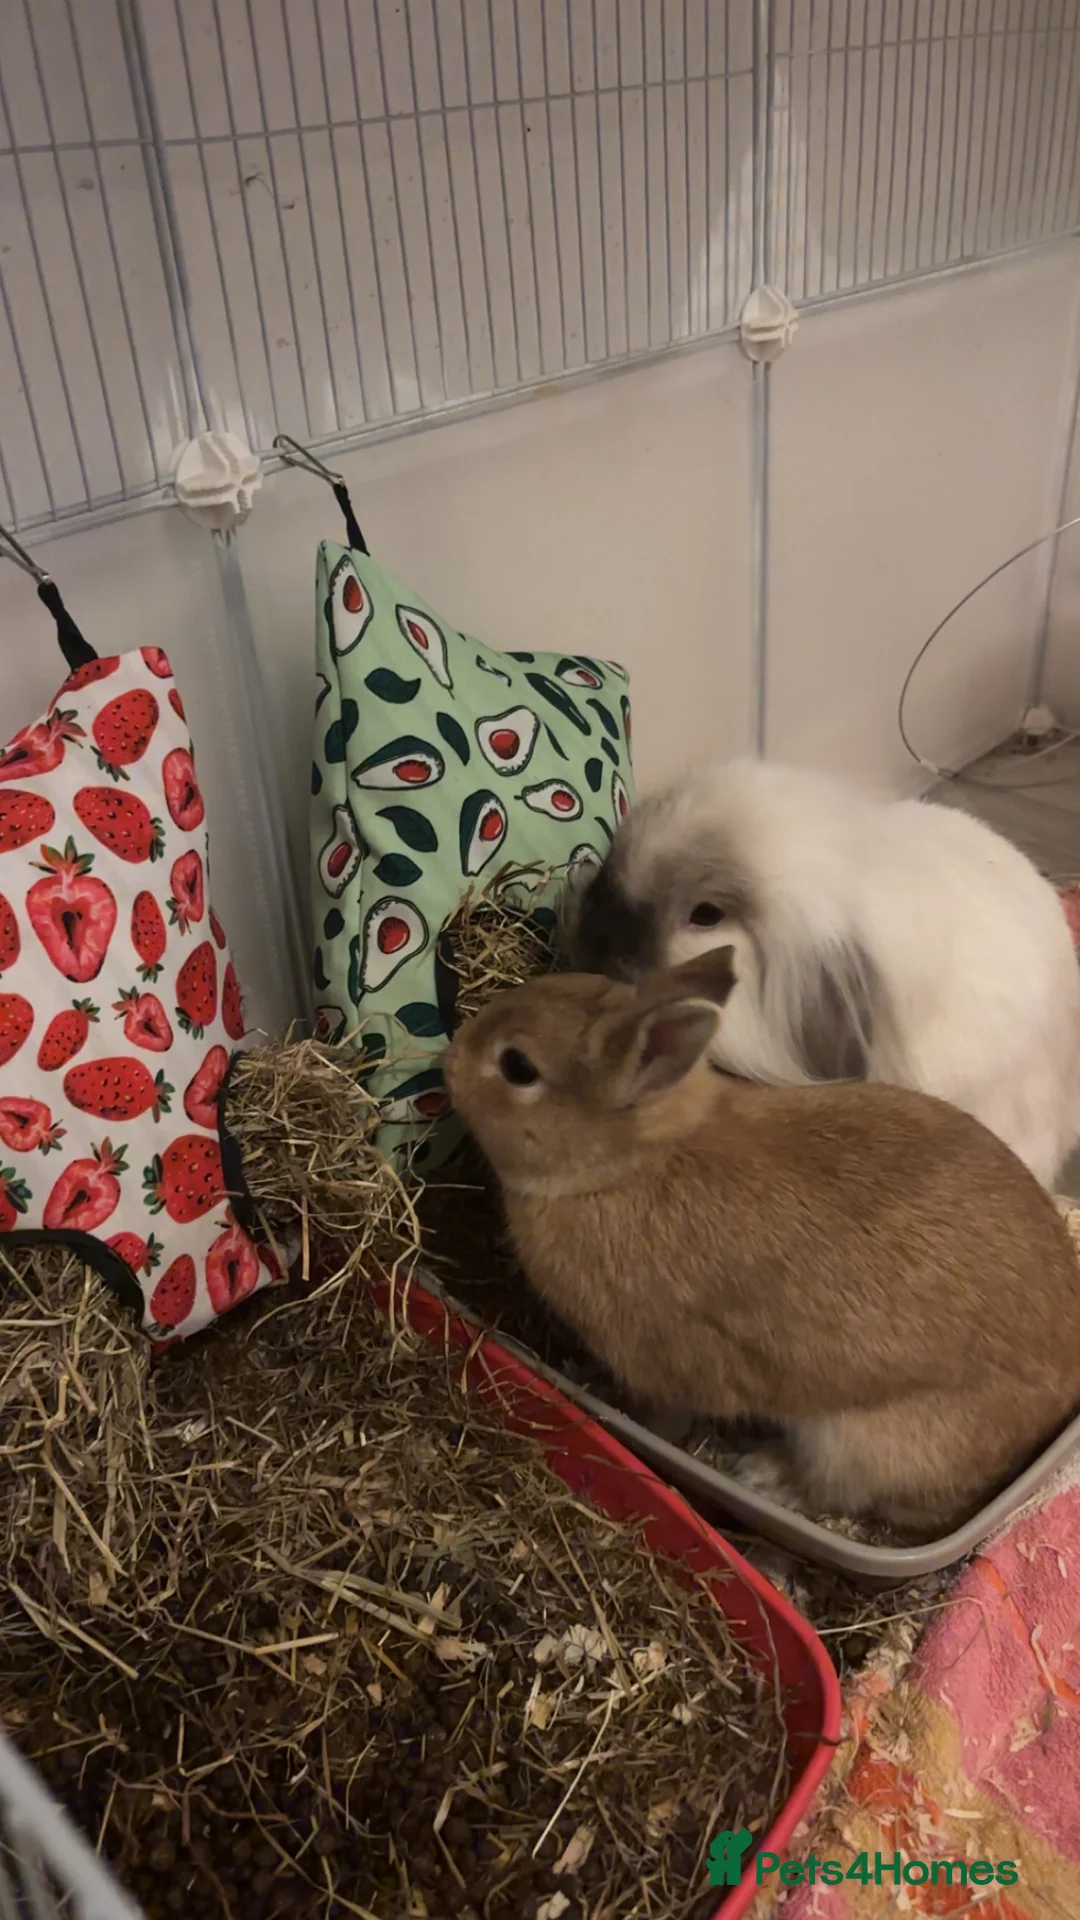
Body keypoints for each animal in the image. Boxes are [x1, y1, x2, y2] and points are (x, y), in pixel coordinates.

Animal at [442, 946, 1080, 1538]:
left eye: (517, 1066)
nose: (450, 1058)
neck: (629, 1166)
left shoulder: (663, 1363)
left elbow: (662, 1413)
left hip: (858, 1443)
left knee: (841, 1490)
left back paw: (764, 1473)